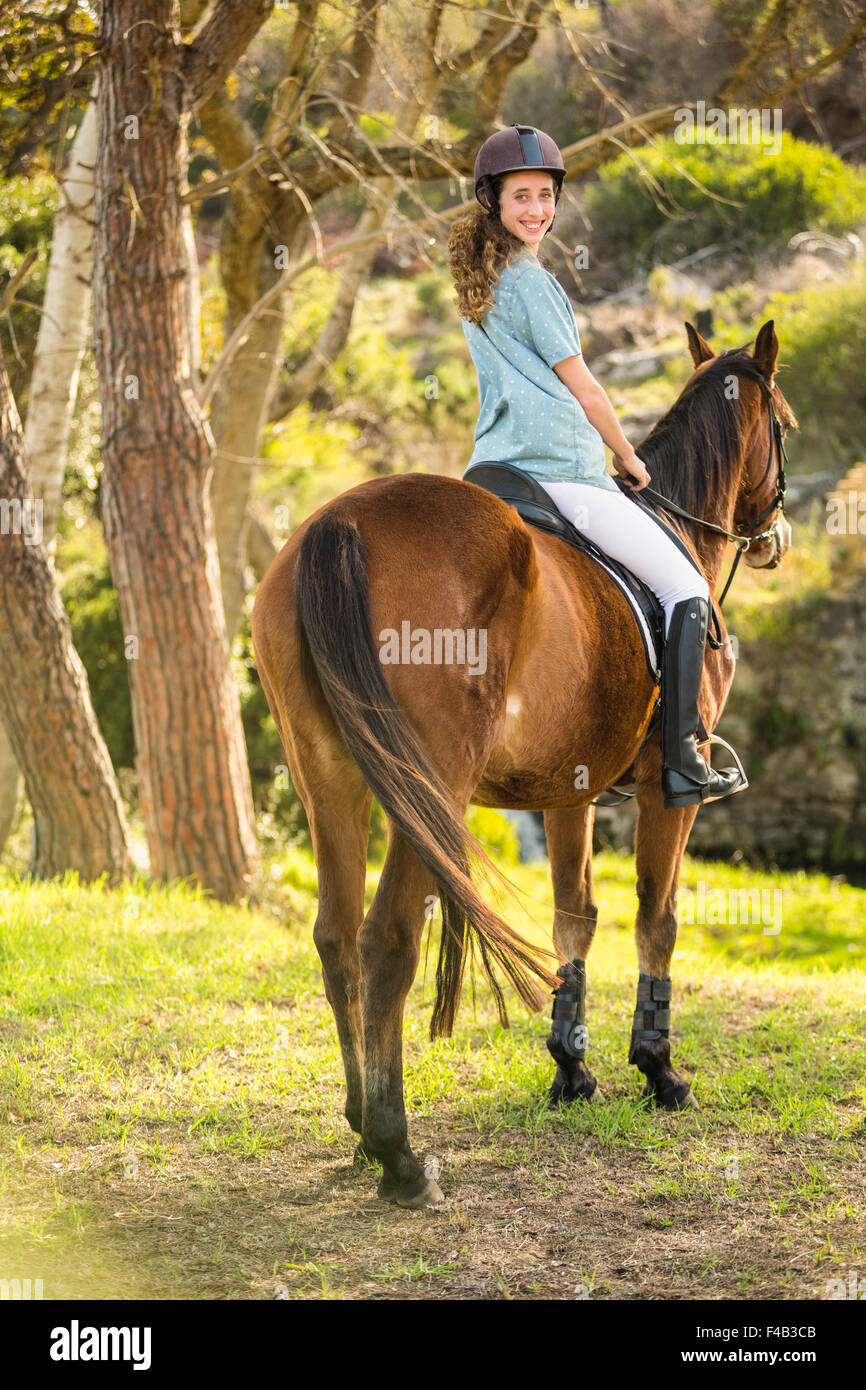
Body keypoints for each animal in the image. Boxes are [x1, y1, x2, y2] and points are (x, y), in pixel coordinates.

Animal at [251, 319, 796, 1208]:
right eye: (784, 422)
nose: (775, 540)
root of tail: (342, 522)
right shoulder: (668, 792)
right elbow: (656, 918)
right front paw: (659, 1072)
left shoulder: (568, 792)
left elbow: (575, 916)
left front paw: (572, 1071)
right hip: (430, 783)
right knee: (386, 941)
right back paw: (399, 1155)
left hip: (329, 779)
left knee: (335, 937)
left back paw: (361, 1127)